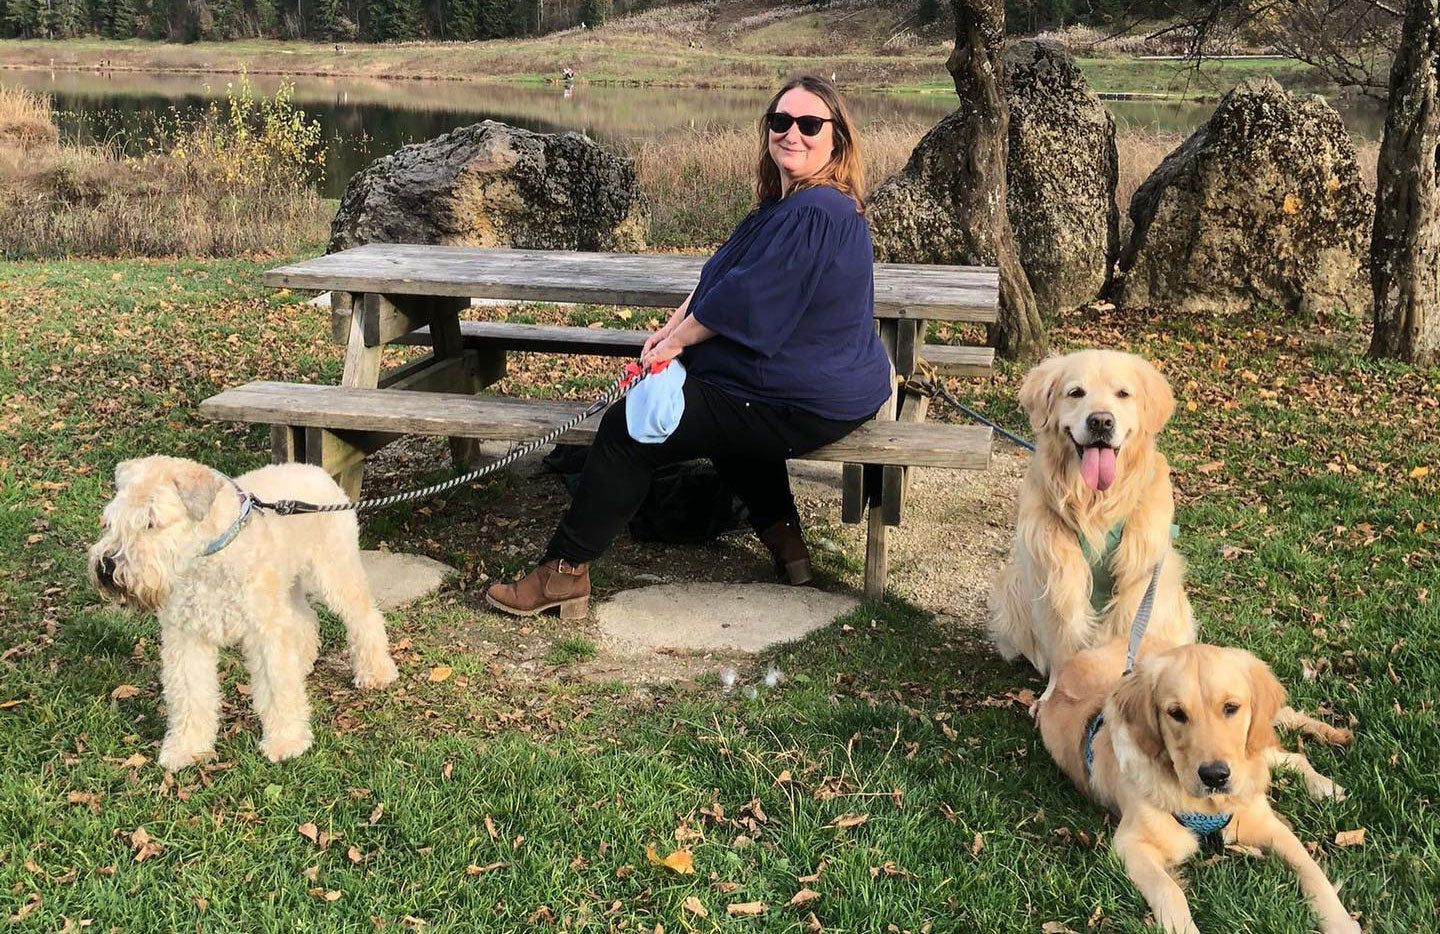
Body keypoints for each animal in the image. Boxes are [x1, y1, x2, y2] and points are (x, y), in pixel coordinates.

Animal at [87, 454, 397, 771]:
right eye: (109, 521)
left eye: (151, 522)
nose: (107, 567)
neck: (207, 558)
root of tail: (316, 470)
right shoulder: (186, 636)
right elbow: (189, 695)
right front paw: (187, 748)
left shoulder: (264, 631)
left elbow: (276, 687)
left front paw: (286, 741)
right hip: (287, 586)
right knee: (306, 619)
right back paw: (302, 662)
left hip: (335, 571)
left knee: (364, 616)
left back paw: (376, 673)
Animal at [990, 349, 1192, 690]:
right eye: (1076, 393)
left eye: (1123, 394)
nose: (1100, 421)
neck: (1094, 505)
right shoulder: (1057, 581)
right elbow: (1063, 648)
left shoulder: (1138, 587)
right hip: (1015, 584)